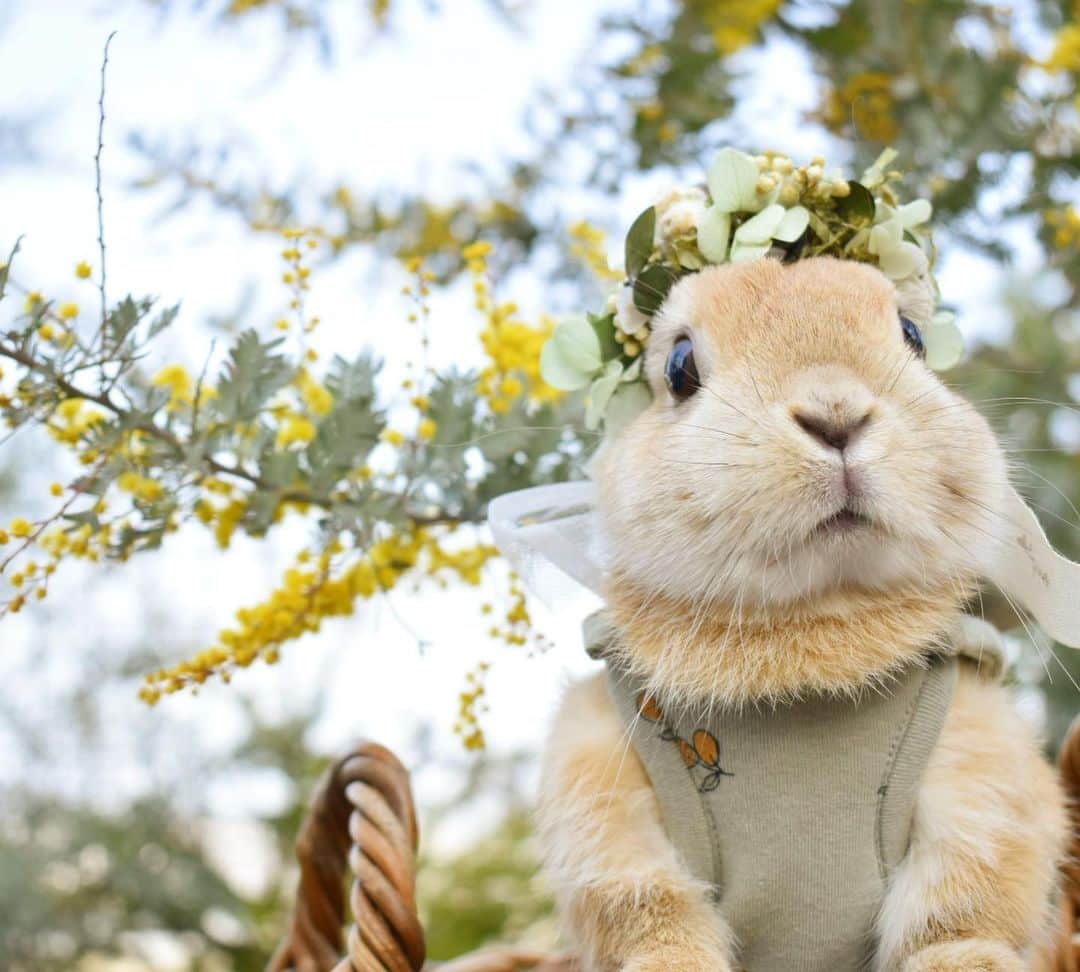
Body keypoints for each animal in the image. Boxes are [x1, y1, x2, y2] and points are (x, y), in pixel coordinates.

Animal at [536, 255, 1070, 972]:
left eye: (912, 337)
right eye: (679, 368)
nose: (835, 415)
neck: (816, 618)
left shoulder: (980, 767)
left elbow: (961, 897)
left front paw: (966, 964)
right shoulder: (604, 787)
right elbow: (646, 906)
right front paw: (672, 965)